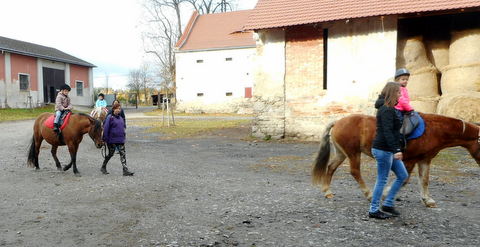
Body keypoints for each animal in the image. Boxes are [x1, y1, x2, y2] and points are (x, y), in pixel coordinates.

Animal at [312, 113, 480, 206]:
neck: (434, 130)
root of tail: (338, 121)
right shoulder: (410, 160)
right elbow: (404, 180)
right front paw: (385, 194)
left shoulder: (424, 160)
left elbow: (424, 180)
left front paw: (427, 200)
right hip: (353, 153)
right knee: (354, 172)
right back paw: (369, 194)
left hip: (342, 153)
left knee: (331, 167)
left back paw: (327, 191)